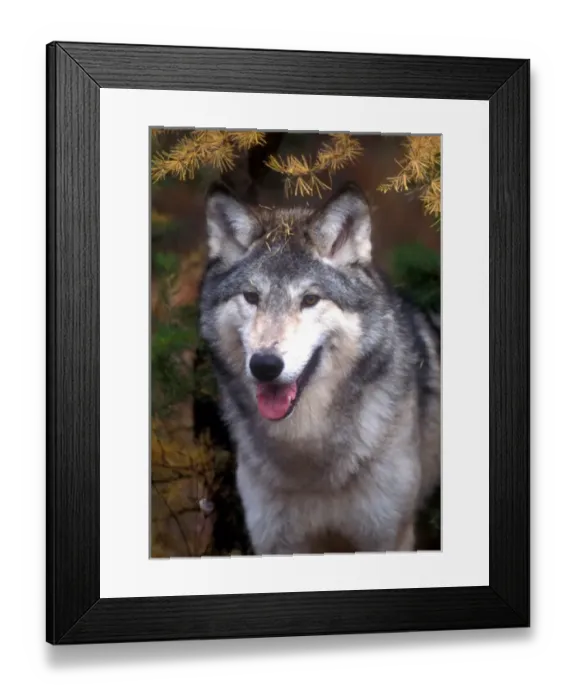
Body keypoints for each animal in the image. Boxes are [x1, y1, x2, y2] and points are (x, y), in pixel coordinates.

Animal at [198, 180, 440, 555]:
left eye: (310, 300)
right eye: (251, 297)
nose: (265, 365)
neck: (308, 460)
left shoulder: (387, 537)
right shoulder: (278, 544)